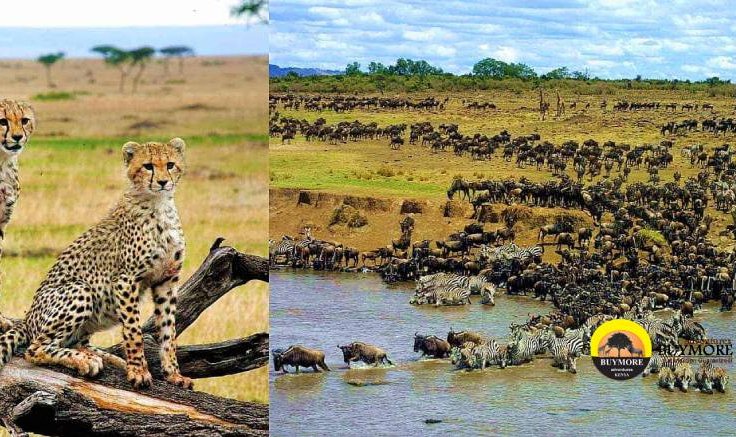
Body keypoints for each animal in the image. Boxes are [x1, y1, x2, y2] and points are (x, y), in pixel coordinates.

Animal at [0, 137, 193, 388]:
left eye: (170, 165)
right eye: (148, 166)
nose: (162, 182)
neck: (159, 205)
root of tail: (27, 318)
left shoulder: (167, 280)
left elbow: (169, 331)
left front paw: (173, 374)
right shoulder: (125, 280)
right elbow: (134, 330)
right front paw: (138, 371)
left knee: (75, 342)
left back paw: (100, 356)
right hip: (80, 289)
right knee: (35, 348)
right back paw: (84, 361)